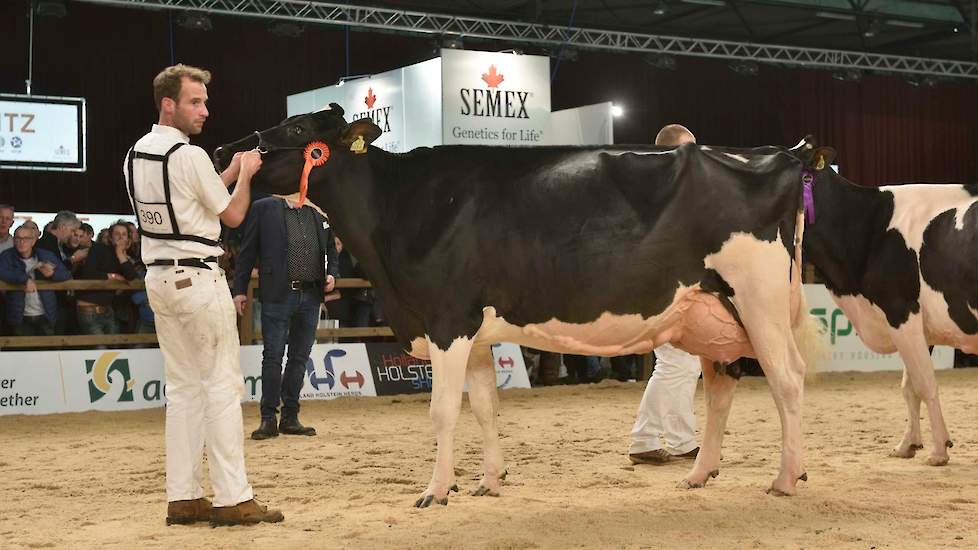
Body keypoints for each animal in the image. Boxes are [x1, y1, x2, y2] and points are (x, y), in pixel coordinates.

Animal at [214, 105, 824, 506]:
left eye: (297, 129)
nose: (224, 149)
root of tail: (782, 155)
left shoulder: (448, 321)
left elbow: (443, 411)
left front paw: (436, 490)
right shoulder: (475, 333)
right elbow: (485, 406)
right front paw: (489, 480)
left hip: (759, 299)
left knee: (788, 380)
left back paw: (786, 478)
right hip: (706, 314)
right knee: (722, 385)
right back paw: (700, 473)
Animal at [800, 142, 976, 466]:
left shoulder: (900, 311)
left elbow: (925, 383)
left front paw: (938, 451)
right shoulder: (916, 325)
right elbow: (910, 387)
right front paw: (908, 444)